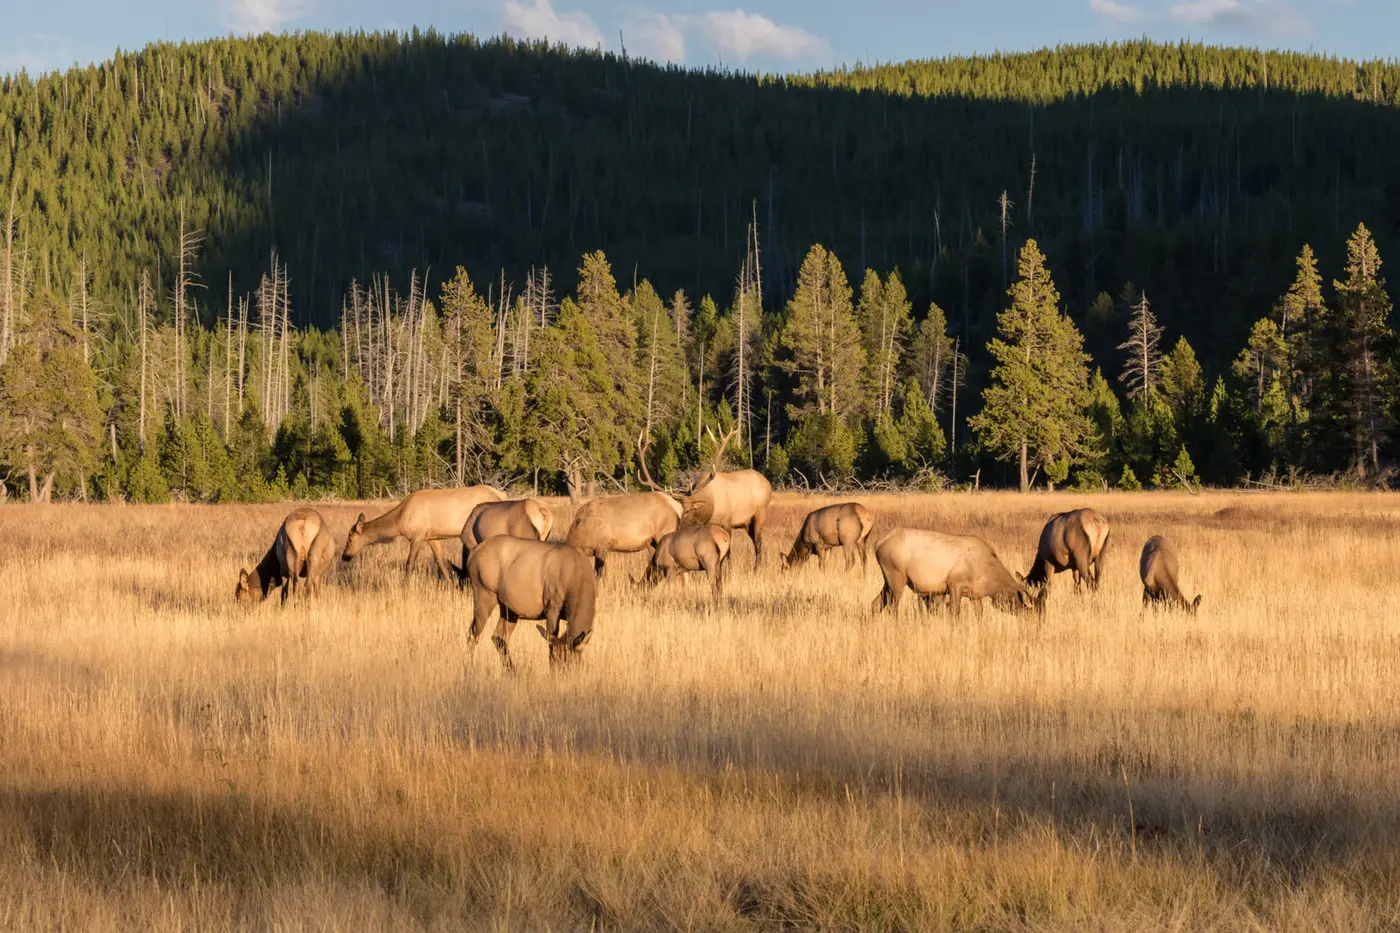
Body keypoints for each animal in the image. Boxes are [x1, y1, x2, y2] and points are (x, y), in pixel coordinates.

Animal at [341, 485, 507, 581]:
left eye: (349, 539)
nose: (344, 556)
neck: (398, 521)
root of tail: (502, 495)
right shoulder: (432, 538)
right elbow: (440, 562)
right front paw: (451, 585)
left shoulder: (417, 536)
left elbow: (409, 563)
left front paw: (405, 586)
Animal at [465, 536, 596, 670]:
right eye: (558, 658)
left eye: (571, 661)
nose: (560, 672)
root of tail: (473, 553)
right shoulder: (552, 607)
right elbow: (550, 641)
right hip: (483, 594)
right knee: (472, 634)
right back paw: (470, 667)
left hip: (508, 609)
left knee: (498, 637)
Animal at [635, 425, 772, 570]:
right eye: (680, 511)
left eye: (689, 511)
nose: (678, 528)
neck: (711, 506)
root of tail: (767, 482)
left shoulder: (727, 521)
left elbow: (728, 551)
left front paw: (729, 571)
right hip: (747, 522)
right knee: (756, 540)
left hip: (760, 512)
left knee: (758, 542)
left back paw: (757, 568)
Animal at [871, 528, 1045, 618]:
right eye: (1032, 612)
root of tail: (878, 544)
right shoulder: (954, 584)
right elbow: (954, 612)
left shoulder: (975, 595)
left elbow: (979, 614)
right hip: (896, 577)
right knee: (893, 608)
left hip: (887, 581)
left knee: (876, 603)